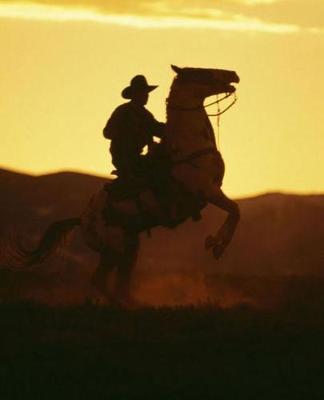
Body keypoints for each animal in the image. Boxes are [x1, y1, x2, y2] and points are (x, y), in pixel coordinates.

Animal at [10, 65, 239, 306]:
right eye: (202, 72)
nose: (233, 74)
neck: (187, 147)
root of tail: (82, 218)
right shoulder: (205, 190)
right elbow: (235, 210)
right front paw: (216, 245)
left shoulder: (212, 191)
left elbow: (234, 211)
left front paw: (215, 243)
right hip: (114, 248)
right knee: (101, 278)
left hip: (129, 245)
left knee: (120, 278)